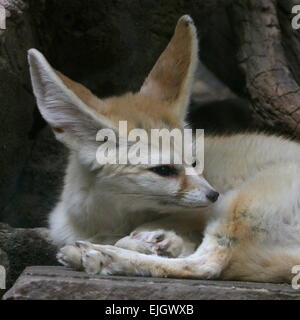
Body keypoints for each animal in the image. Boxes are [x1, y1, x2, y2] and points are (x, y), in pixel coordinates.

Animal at [29, 15, 300, 282]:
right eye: (163, 170)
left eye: (194, 162)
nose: (214, 195)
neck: (108, 220)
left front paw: (154, 241)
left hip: (240, 202)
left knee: (208, 265)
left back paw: (104, 255)